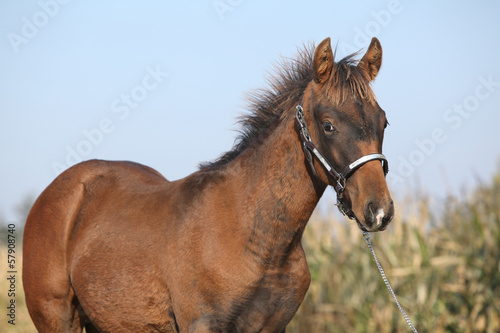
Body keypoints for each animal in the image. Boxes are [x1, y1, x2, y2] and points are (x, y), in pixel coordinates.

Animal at [24, 35, 394, 330]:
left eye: (384, 122)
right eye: (328, 125)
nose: (379, 211)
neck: (258, 239)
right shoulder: (202, 324)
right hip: (57, 318)